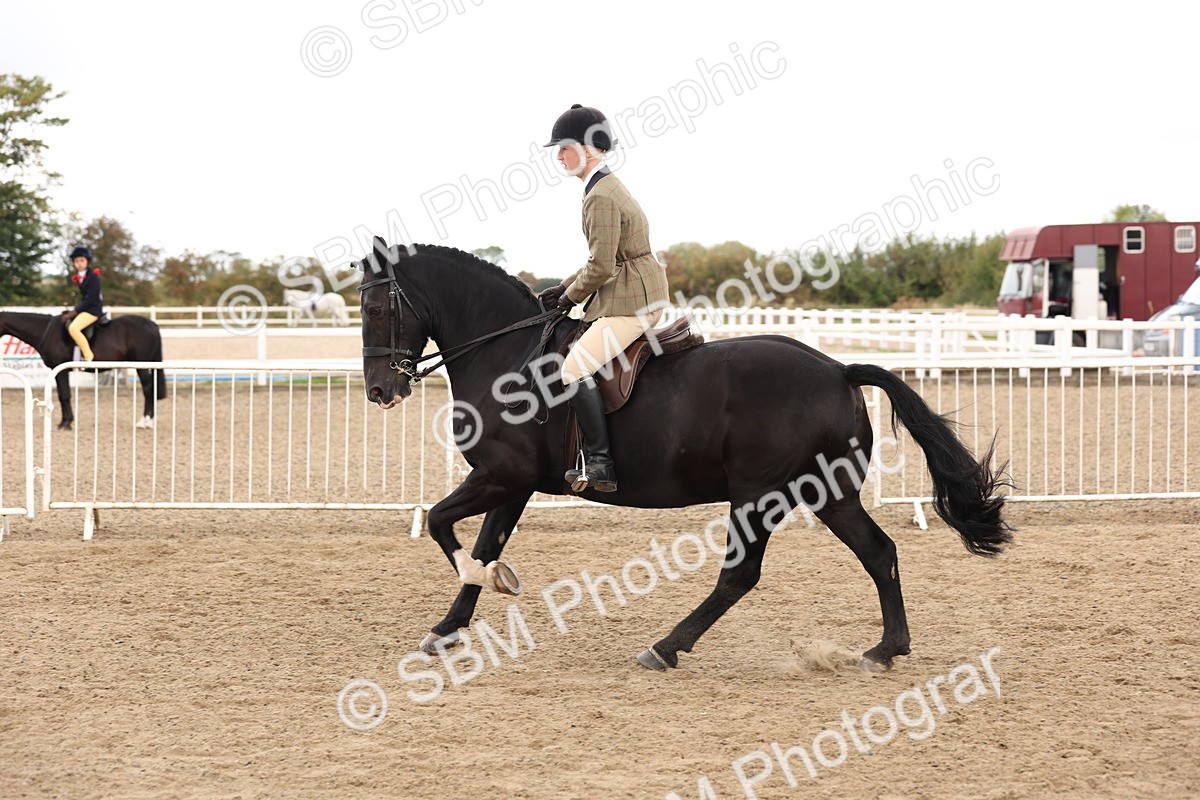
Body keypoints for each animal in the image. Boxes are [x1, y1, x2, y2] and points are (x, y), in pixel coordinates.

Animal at [0, 311, 166, 430]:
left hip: (142, 366)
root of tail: (152, 324)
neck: (46, 331)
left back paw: (144, 422)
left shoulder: (60, 369)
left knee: (148, 389)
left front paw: (66, 423)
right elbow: (62, 394)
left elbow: (65, 395)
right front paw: (65, 421)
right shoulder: (57, 370)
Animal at [356, 240, 1012, 673]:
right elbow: (484, 542)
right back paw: (884, 650)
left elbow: (444, 525)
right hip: (826, 493)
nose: (380, 392)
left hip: (759, 495)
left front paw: (485, 586)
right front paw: (449, 627)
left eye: (376, 308)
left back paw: (665, 647)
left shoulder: (500, 475)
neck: (506, 354)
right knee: (879, 553)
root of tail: (837, 369)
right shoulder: (511, 483)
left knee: (741, 575)